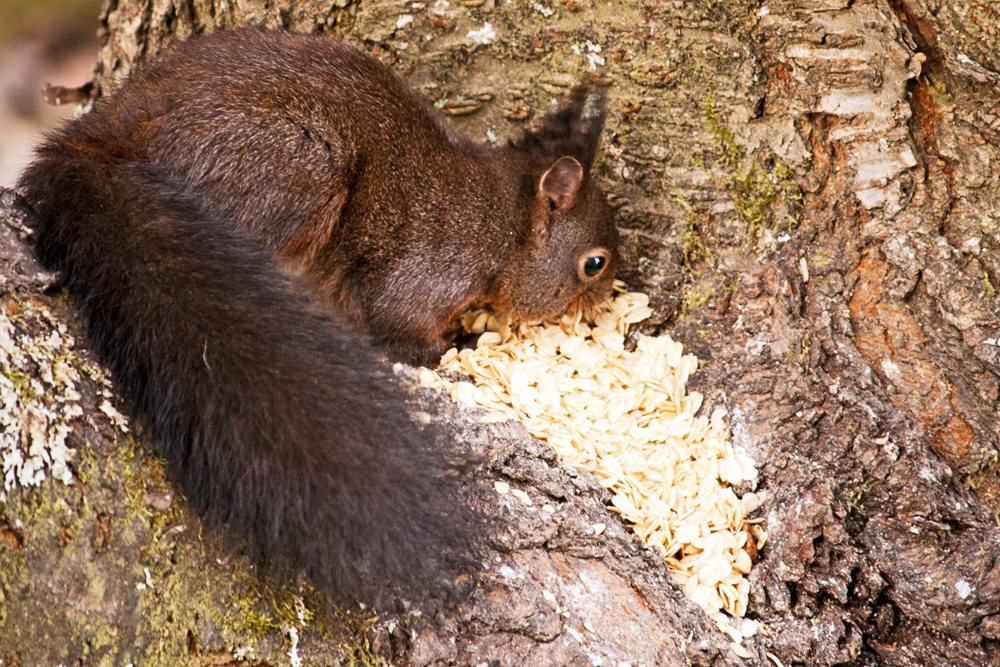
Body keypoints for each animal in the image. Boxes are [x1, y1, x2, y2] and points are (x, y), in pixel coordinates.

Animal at [17, 28, 616, 604]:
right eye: (595, 264)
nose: (607, 298)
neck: (503, 220)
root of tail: (112, 132)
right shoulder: (435, 263)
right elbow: (401, 325)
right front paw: (459, 347)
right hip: (297, 167)